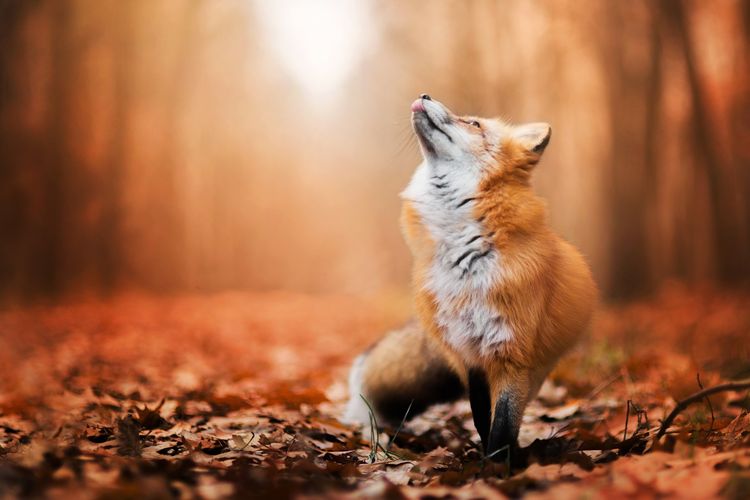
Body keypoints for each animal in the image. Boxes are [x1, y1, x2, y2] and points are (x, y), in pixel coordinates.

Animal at [345, 94, 597, 462]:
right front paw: (486, 460)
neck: (465, 262)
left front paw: (498, 466)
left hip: (537, 367)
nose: (424, 96)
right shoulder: (468, 353)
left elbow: (503, 423)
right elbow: (481, 417)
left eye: (473, 123)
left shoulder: (511, 352)